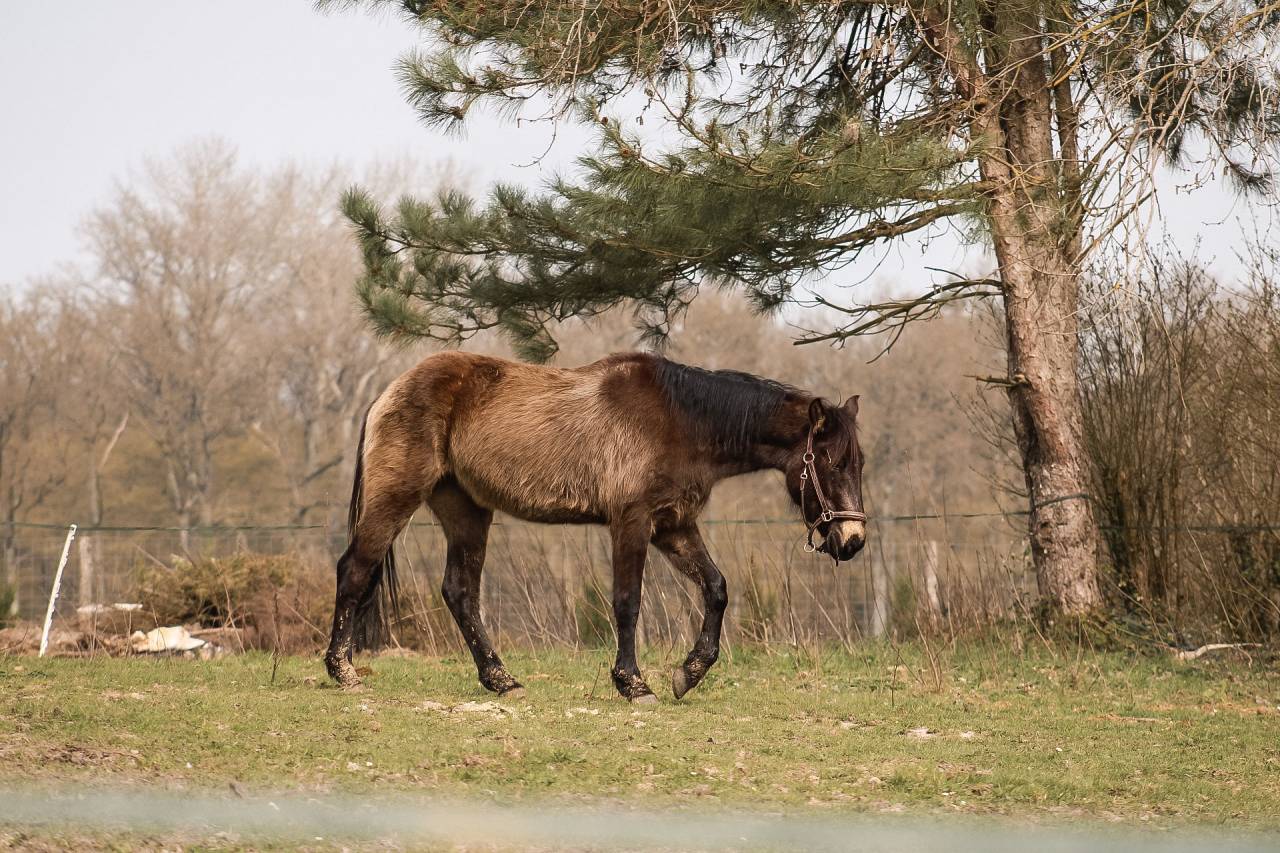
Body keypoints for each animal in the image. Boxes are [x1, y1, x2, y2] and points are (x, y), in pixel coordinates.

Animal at [324, 351, 867, 702]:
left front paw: (688, 673)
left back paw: (501, 680)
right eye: (831, 461)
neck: (680, 421)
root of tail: (389, 392)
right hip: (395, 499)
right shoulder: (632, 524)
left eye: (857, 463)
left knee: (459, 593)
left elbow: (716, 588)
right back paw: (343, 672)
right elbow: (627, 603)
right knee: (354, 571)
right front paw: (633, 683)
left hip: (467, 514)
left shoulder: (673, 527)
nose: (853, 541)